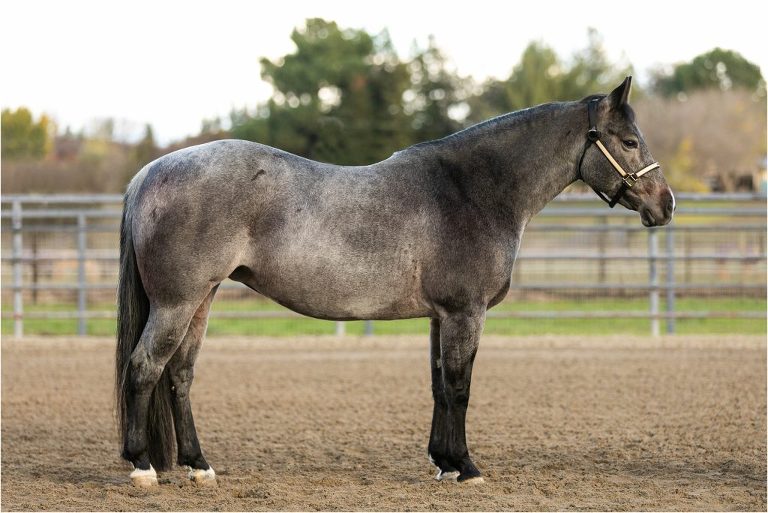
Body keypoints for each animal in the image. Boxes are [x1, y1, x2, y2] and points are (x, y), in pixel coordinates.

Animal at [115, 76, 674, 487]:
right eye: (629, 141)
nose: (665, 205)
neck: (471, 191)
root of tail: (149, 174)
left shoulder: (441, 316)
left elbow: (438, 386)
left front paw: (443, 463)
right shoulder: (465, 313)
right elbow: (460, 386)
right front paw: (467, 468)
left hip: (201, 300)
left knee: (179, 375)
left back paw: (198, 466)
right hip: (176, 303)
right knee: (143, 368)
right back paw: (143, 467)